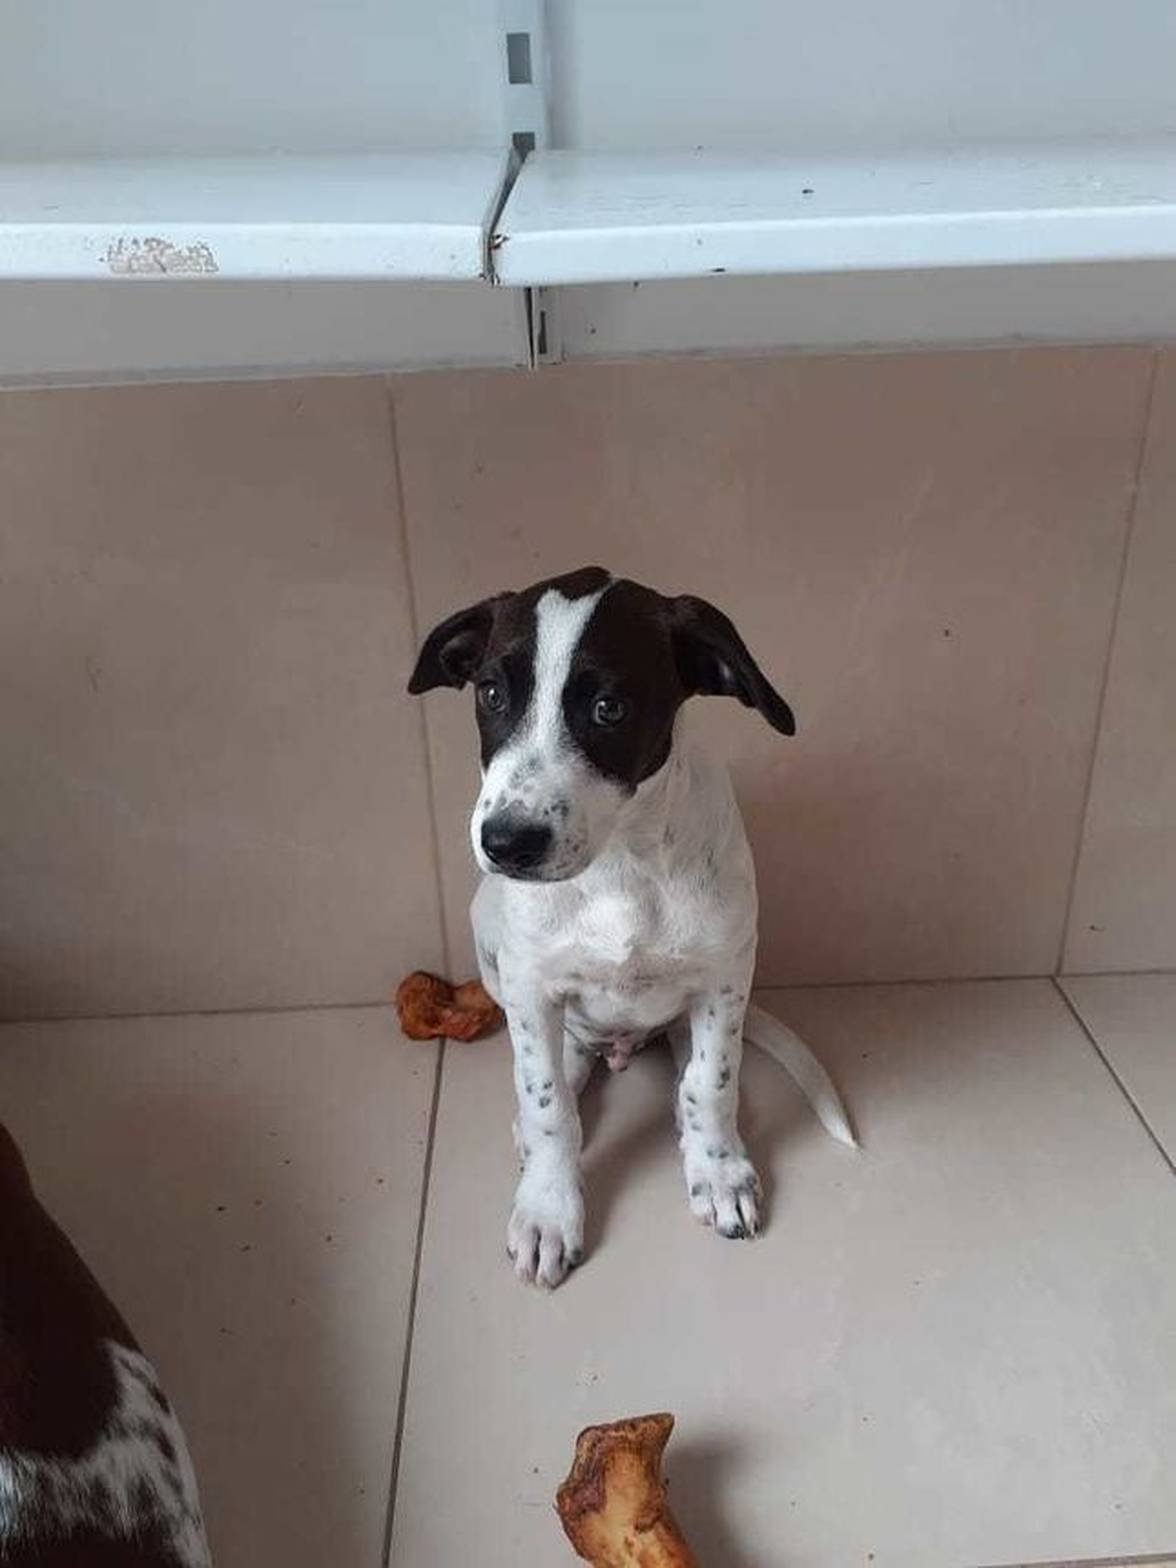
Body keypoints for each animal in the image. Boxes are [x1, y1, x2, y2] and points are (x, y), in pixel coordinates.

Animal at [409, 566, 853, 1290]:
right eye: (492, 693)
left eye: (609, 709)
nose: (506, 842)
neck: (619, 864)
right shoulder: (530, 986)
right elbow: (547, 1105)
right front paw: (548, 1206)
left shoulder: (725, 977)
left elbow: (712, 1082)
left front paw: (717, 1169)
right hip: (489, 933)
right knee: (561, 1061)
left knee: (686, 1063)